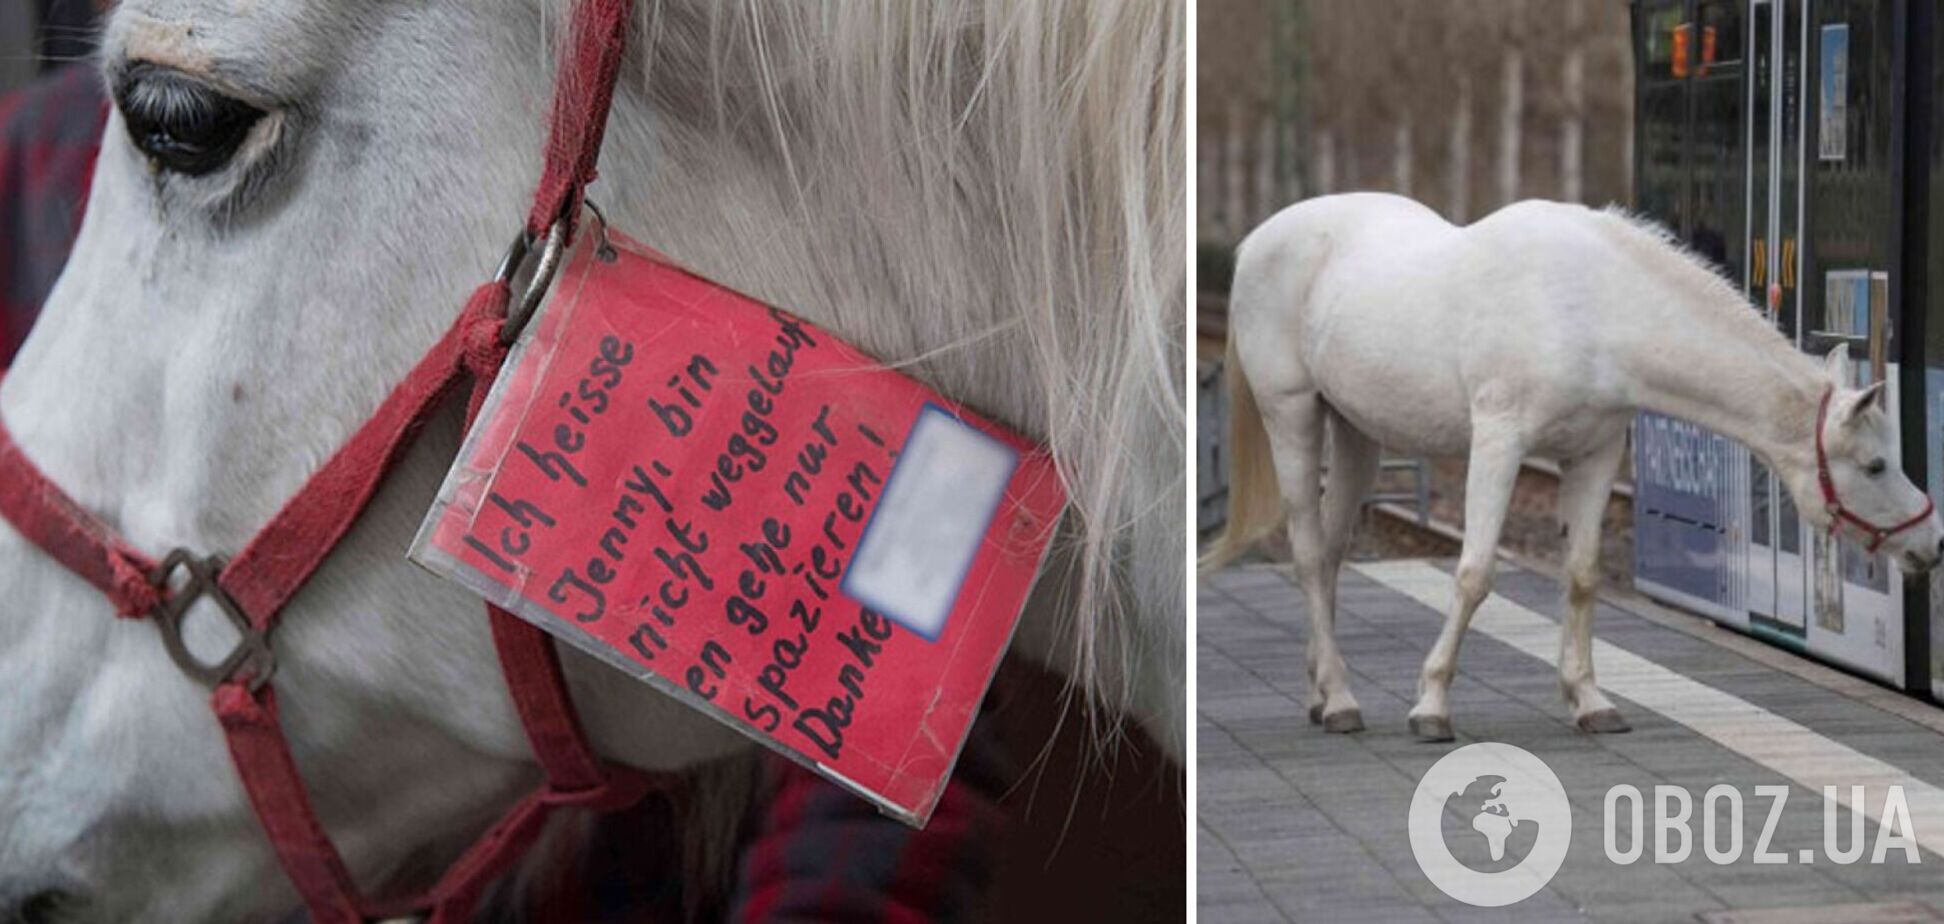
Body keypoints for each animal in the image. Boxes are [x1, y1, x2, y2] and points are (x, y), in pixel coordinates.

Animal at [1205, 193, 1936, 746]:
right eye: (1874, 465)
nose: (1930, 543)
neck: (1595, 309)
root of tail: (1259, 240)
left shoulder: (1594, 455)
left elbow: (1581, 577)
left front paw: (1588, 700)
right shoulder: (1499, 443)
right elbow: (1474, 574)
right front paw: (1432, 705)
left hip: (1357, 432)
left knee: (1330, 555)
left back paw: (1325, 691)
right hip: (1293, 415)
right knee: (1306, 553)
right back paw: (1342, 698)